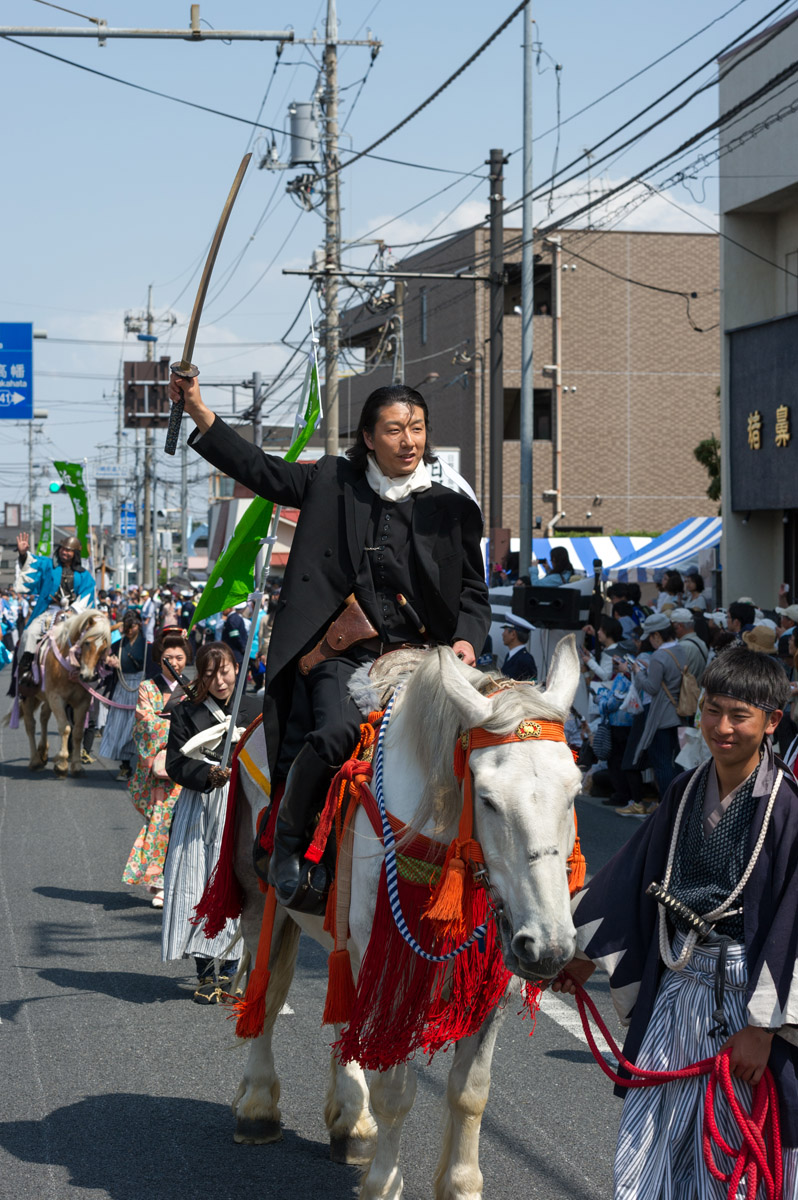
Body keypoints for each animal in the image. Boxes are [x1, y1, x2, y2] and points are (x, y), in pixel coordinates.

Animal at [17, 609, 112, 777]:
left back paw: (43, 752)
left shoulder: (82, 702)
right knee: (30, 725)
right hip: (28, 696)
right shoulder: (56, 698)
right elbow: (65, 728)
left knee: (43, 717)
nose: (87, 676)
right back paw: (35, 760)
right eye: (87, 643)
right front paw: (61, 764)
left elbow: (78, 732)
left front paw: (76, 766)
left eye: (104, 649)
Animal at [224, 633, 578, 1195]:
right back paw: (258, 1106)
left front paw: (461, 1186)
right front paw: (384, 1183)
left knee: (344, 1018)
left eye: (575, 791)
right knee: (267, 993)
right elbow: (394, 1089)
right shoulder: (395, 969)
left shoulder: (489, 980)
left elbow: (470, 1092)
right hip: (264, 900)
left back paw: (351, 1122)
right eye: (487, 799)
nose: (548, 946)